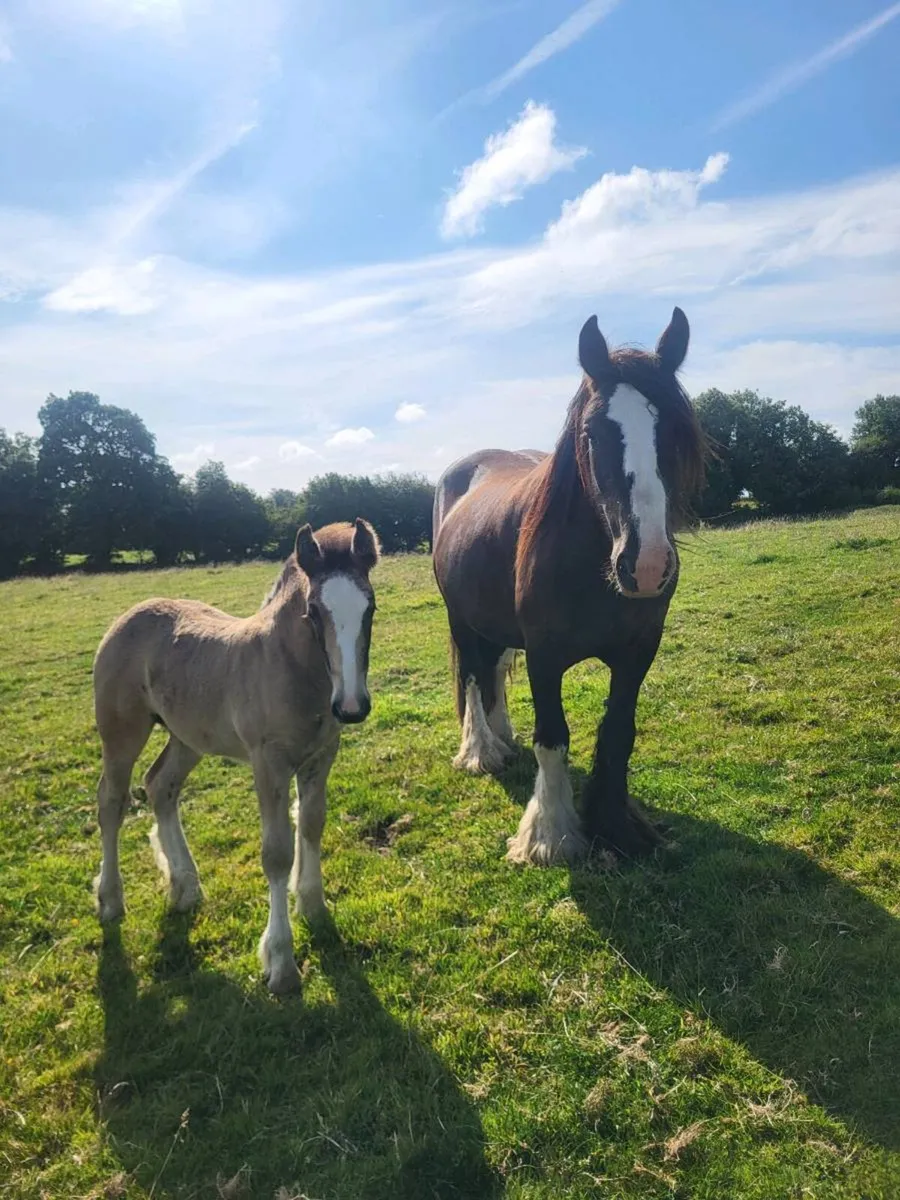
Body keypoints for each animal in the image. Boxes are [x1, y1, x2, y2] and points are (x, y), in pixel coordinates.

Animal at [92, 518, 380, 994]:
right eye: (314, 611)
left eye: (370, 607)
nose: (352, 706)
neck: (293, 672)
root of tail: (128, 615)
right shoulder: (269, 764)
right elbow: (276, 852)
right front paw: (281, 963)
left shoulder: (321, 756)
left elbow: (313, 825)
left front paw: (314, 907)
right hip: (121, 734)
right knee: (112, 802)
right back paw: (111, 900)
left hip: (187, 737)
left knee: (160, 786)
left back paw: (185, 887)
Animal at [432, 308, 705, 866]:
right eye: (593, 432)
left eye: (675, 428)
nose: (646, 565)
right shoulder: (545, 655)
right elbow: (553, 738)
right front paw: (549, 835)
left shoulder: (639, 650)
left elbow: (618, 731)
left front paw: (616, 825)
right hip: (460, 617)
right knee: (471, 673)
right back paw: (480, 752)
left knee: (492, 669)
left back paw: (502, 737)